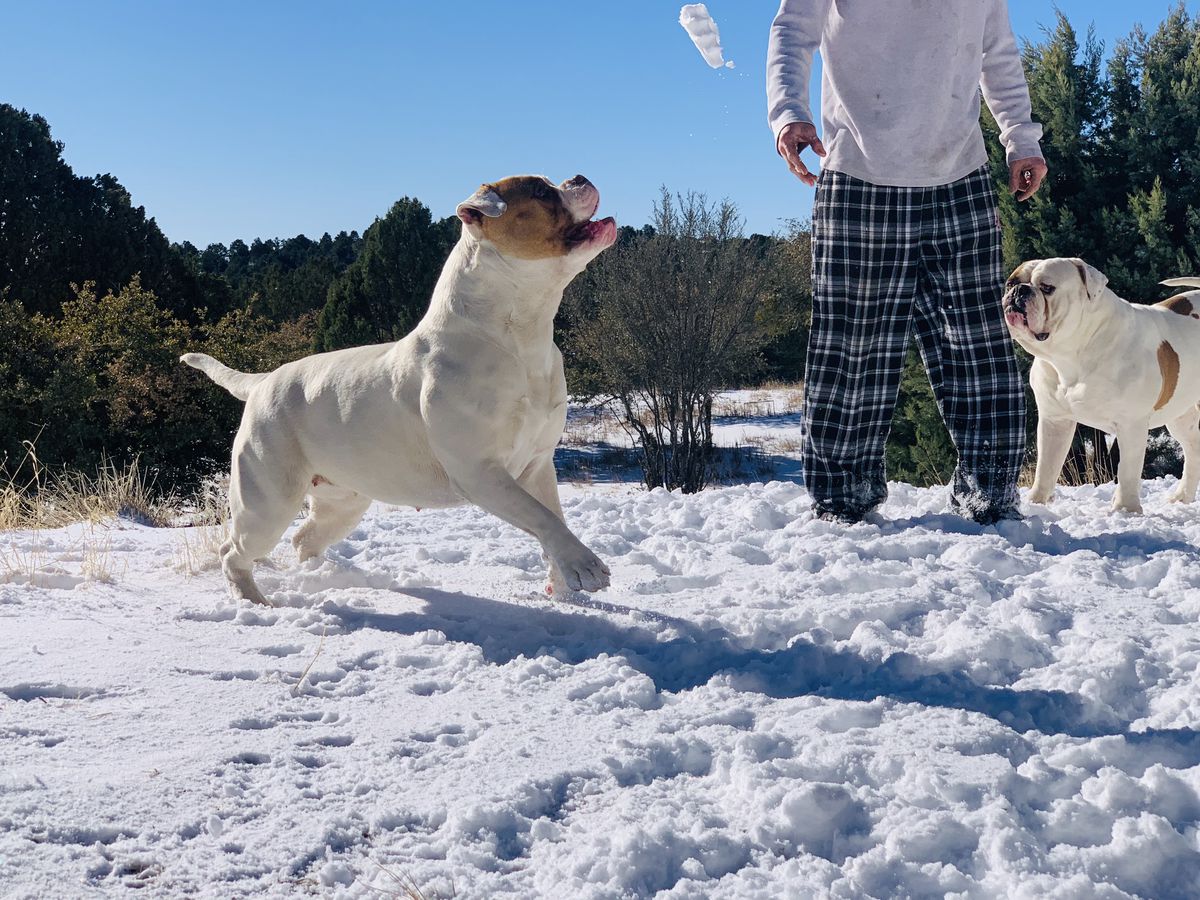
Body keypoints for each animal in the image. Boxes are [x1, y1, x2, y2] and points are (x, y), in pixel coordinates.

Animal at [187, 174, 624, 607]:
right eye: (540, 191)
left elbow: (552, 514)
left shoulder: (537, 463)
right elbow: (541, 516)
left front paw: (562, 586)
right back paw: (253, 599)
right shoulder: (480, 472)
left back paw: (328, 575)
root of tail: (262, 381)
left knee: (304, 539)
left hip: (344, 501)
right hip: (268, 502)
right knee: (234, 550)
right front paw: (585, 566)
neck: (520, 336)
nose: (580, 177)